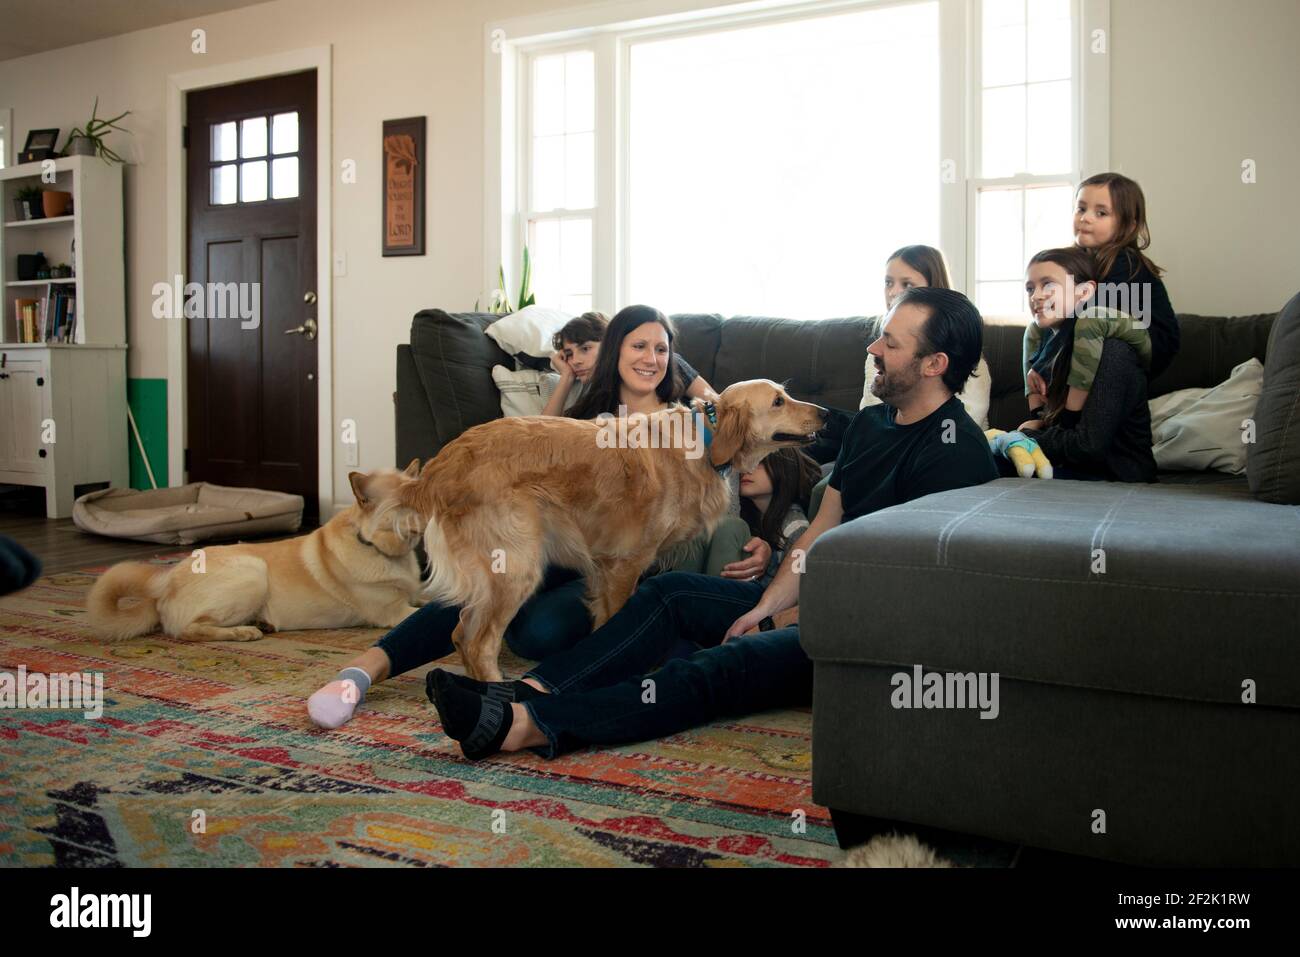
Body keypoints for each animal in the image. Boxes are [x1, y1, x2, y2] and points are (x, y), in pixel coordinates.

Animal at [87, 462, 431, 642]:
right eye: (402, 504)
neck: (374, 545)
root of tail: (163, 588)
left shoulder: (414, 596)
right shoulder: (394, 612)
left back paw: (260, 623)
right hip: (251, 572)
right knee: (189, 630)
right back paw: (243, 632)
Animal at [390, 379, 826, 681]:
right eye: (778, 401)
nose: (825, 412)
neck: (704, 440)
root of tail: (443, 462)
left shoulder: (602, 570)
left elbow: (602, 627)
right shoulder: (625, 565)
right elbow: (618, 624)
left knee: (460, 632)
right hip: (516, 565)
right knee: (478, 643)